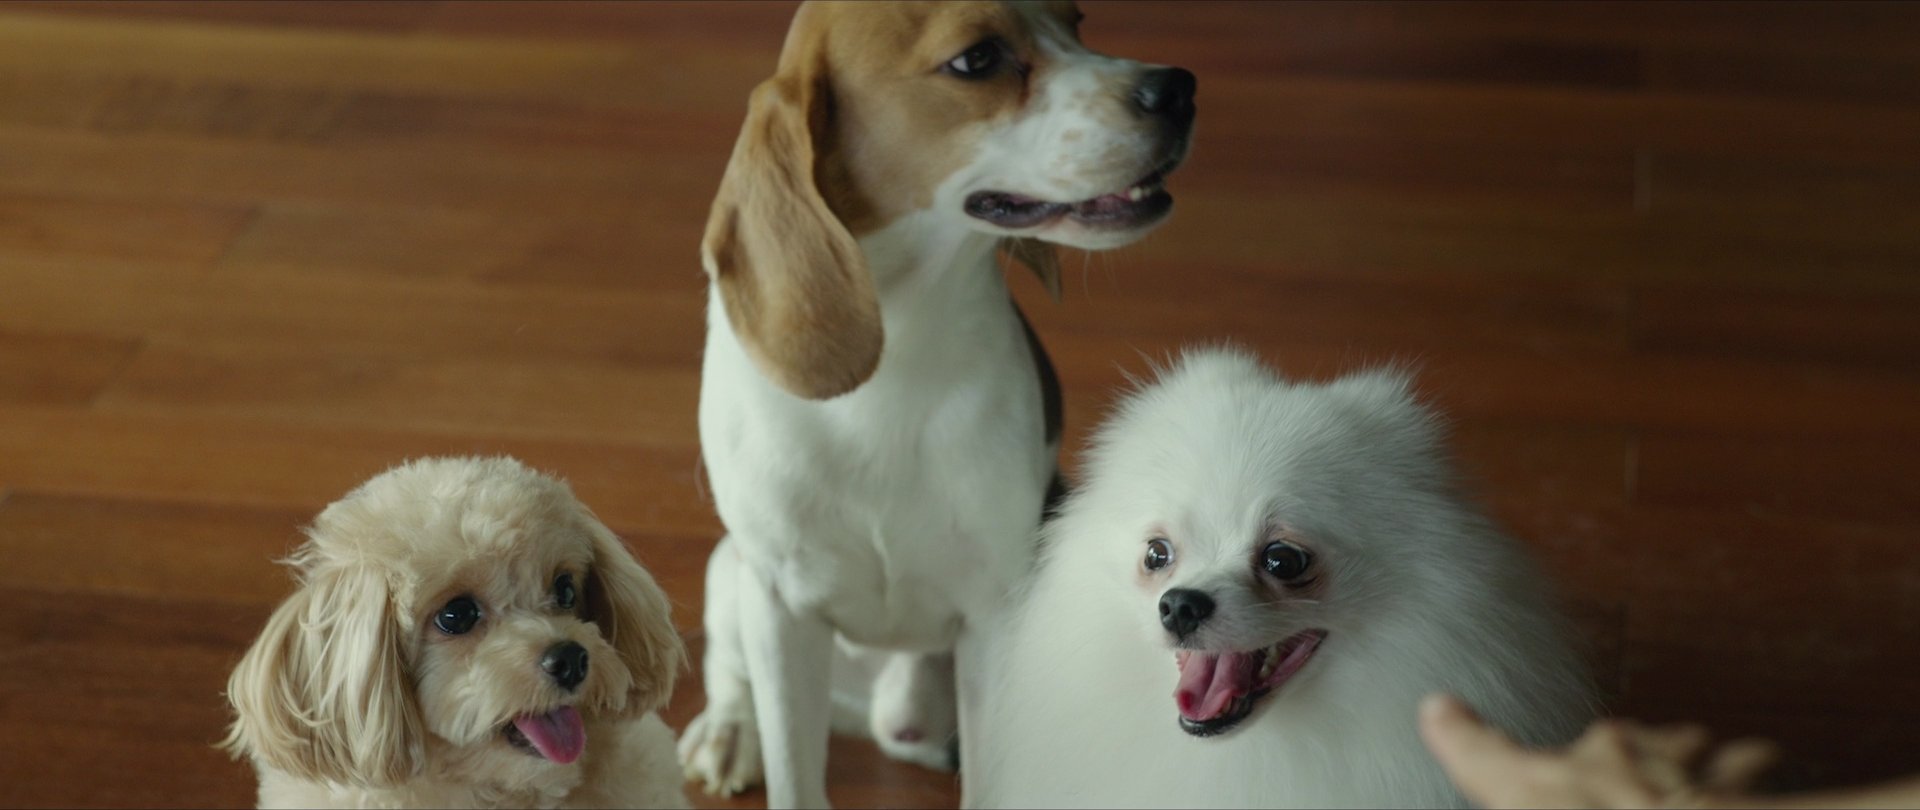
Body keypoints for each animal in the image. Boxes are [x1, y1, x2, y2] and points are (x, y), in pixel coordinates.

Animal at [679, 1, 1195, 806]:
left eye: (1077, 21)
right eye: (975, 60)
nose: (1178, 89)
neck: (898, 346)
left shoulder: (991, 617)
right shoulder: (781, 607)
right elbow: (794, 769)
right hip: (732, 571)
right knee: (729, 669)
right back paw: (730, 730)